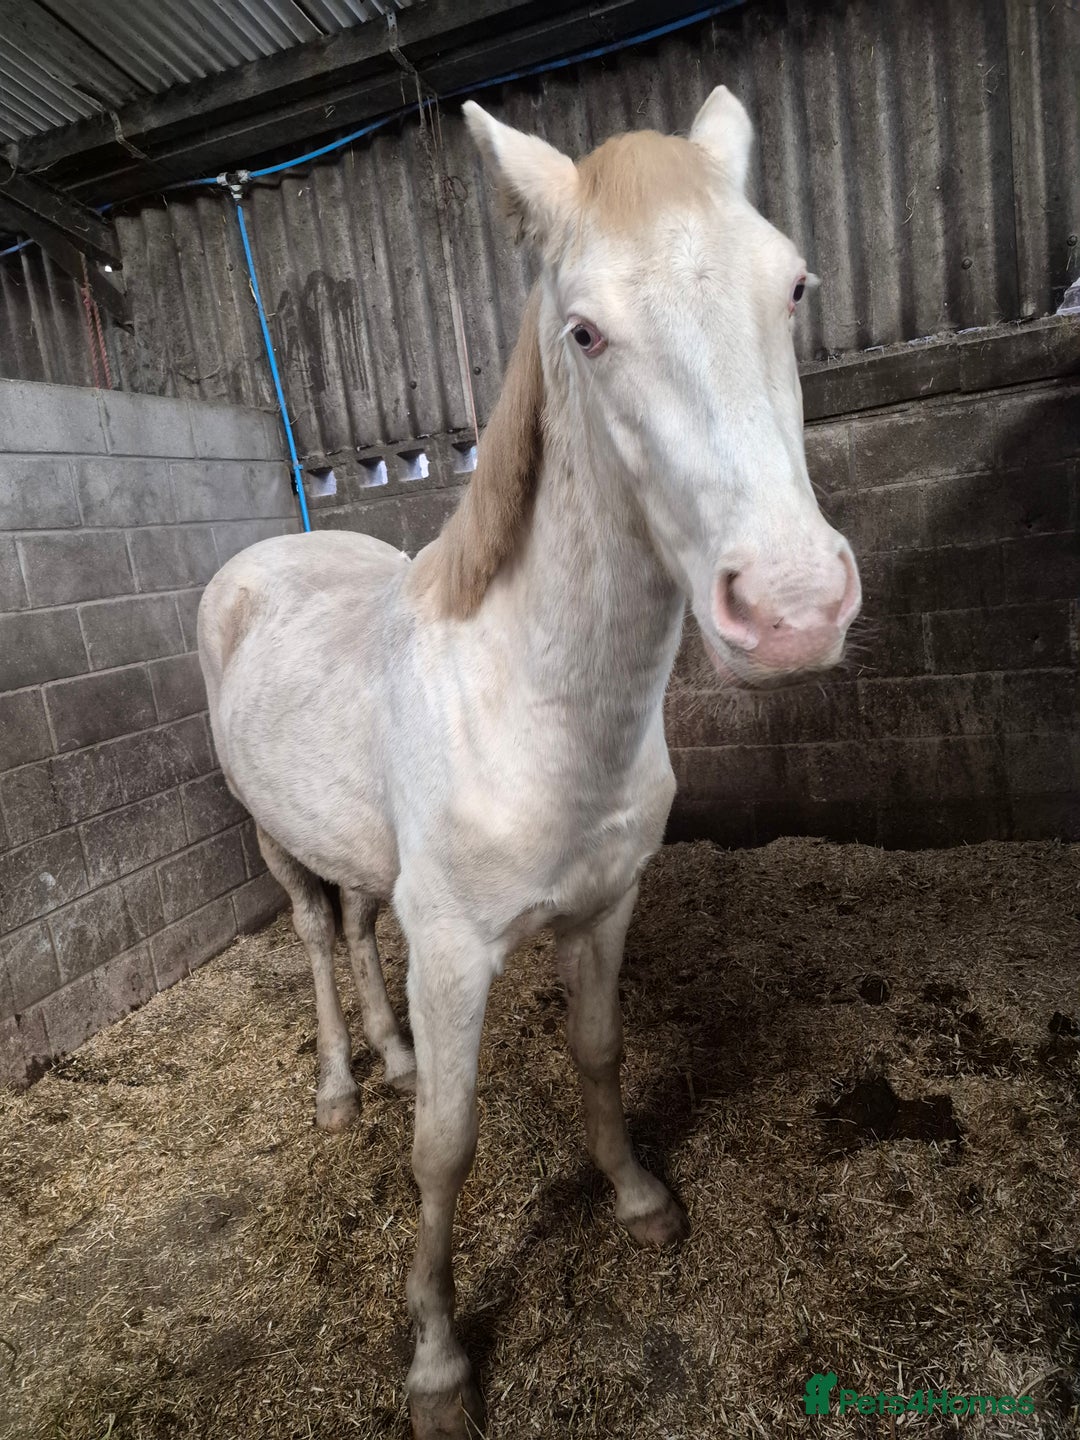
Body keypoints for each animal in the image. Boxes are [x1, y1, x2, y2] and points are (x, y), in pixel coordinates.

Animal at [198, 87, 862, 1439]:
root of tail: (257, 565)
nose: (793, 607)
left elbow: (600, 1056)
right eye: (585, 331)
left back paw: (390, 1056)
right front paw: (438, 1364)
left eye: (794, 287)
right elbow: (443, 1147)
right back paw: (344, 1088)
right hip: (272, 841)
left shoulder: (604, 909)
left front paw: (641, 1201)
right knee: (314, 937)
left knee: (357, 930)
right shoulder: (457, 948)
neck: (533, 702)